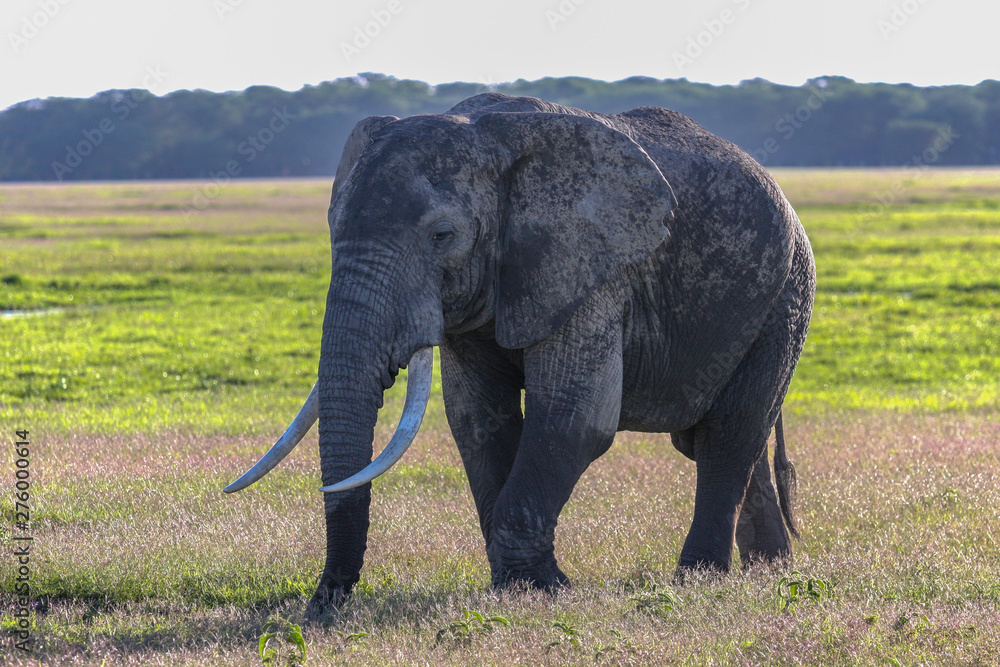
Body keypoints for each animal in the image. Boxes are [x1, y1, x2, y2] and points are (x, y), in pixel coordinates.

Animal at [224, 93, 815, 615]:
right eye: (332, 229)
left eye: (442, 235)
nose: (321, 608)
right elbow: (477, 418)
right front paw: (518, 586)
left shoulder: (594, 270)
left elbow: (575, 418)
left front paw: (542, 589)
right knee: (717, 439)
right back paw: (769, 570)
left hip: (785, 298)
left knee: (729, 433)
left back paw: (700, 578)